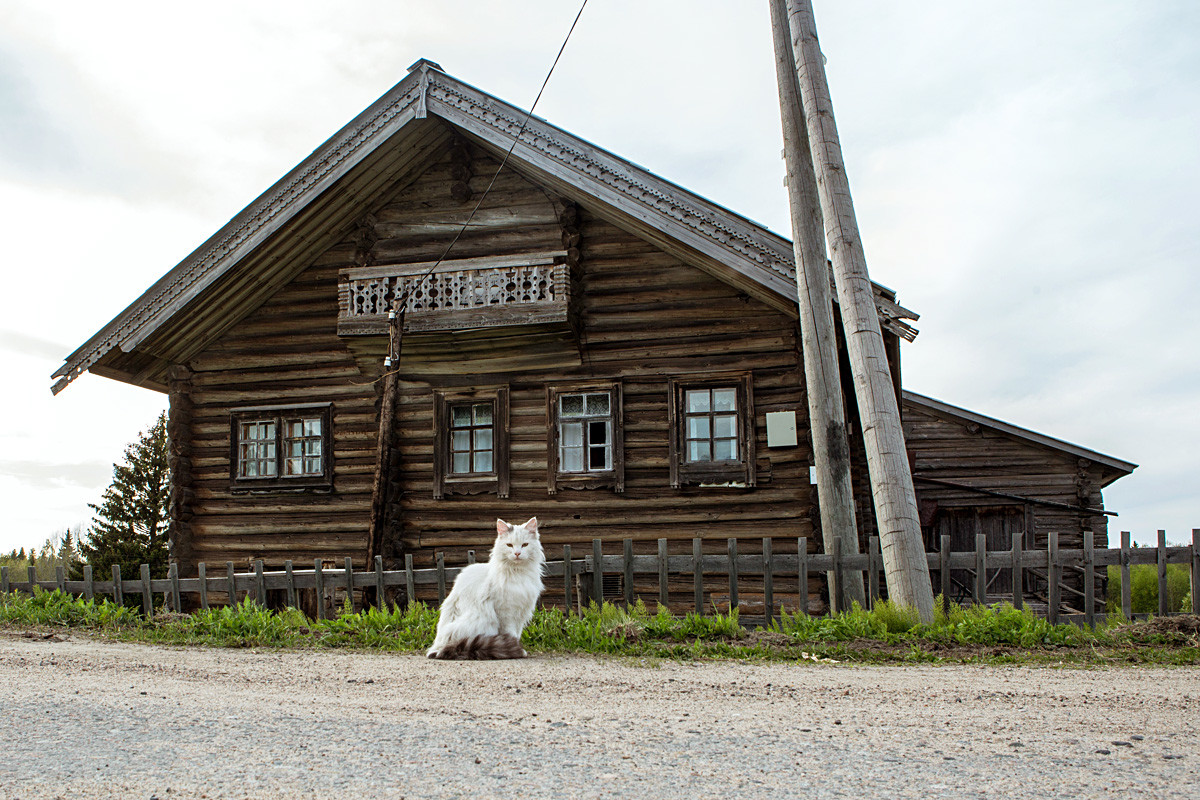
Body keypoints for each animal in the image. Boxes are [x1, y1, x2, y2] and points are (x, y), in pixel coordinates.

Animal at [427, 515, 544, 662]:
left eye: (525, 545)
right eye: (509, 545)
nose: (517, 553)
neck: (518, 573)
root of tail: (436, 648)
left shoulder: (521, 613)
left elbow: (517, 634)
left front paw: (517, 649)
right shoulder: (506, 614)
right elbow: (511, 634)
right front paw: (517, 650)